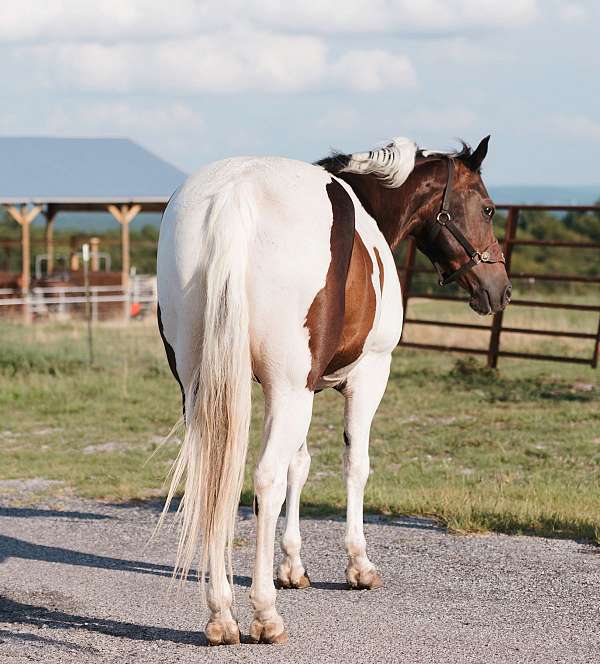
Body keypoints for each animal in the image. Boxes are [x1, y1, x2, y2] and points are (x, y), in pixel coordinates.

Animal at [156, 136, 510, 648]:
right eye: (486, 208)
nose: (499, 289)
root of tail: (234, 196)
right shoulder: (366, 376)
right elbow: (354, 465)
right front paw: (358, 566)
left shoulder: (301, 388)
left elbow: (299, 467)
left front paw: (292, 566)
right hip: (289, 388)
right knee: (264, 480)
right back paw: (264, 615)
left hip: (208, 387)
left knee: (216, 478)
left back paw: (222, 615)